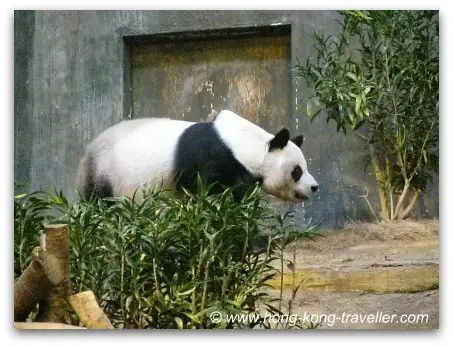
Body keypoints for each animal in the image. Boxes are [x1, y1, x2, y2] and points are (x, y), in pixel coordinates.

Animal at [75, 111, 318, 203]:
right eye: (297, 171)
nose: (315, 187)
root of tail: (87, 151)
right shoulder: (211, 158)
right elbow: (212, 190)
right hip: (105, 172)